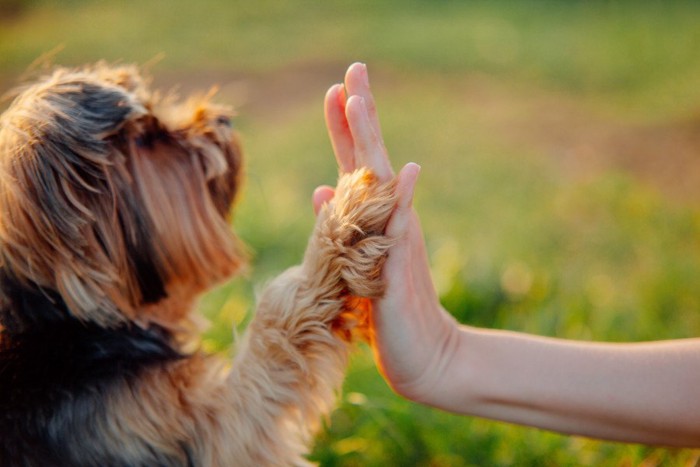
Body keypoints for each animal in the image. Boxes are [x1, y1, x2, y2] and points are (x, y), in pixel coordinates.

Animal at [0, 63, 396, 467]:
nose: (222, 118)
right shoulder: (188, 428)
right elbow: (272, 332)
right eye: (147, 139)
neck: (70, 327)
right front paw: (342, 228)